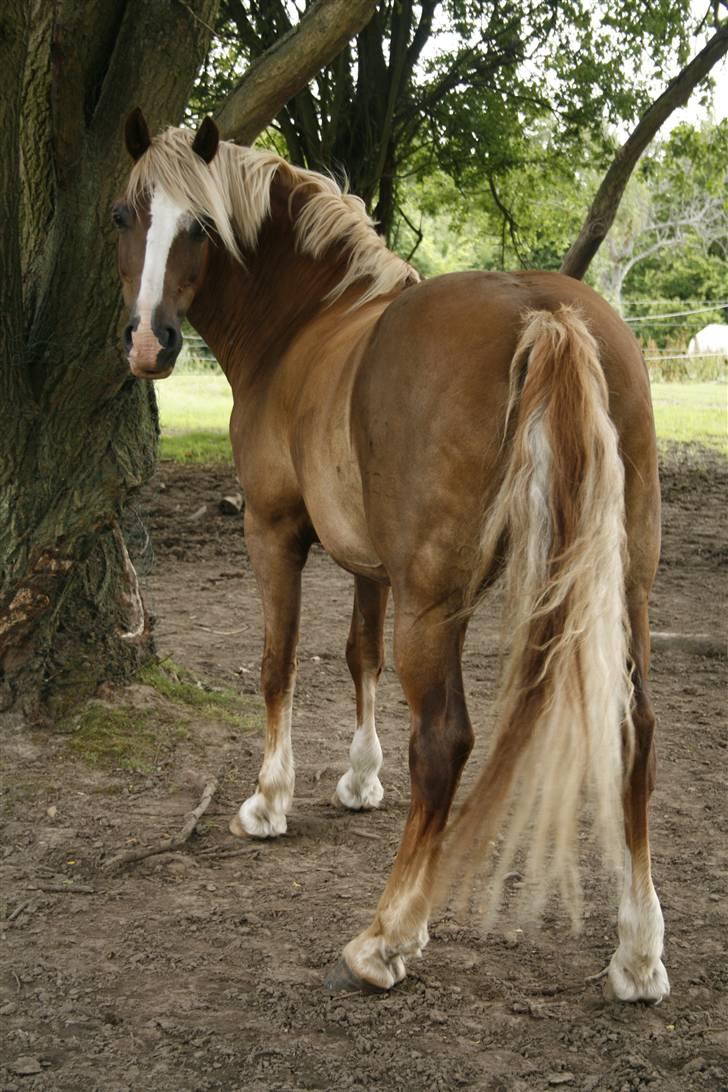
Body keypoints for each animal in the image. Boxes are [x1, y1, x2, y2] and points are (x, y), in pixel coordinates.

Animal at [114, 108, 669, 1003]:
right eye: (126, 217)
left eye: (198, 225)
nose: (147, 344)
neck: (307, 325)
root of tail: (545, 312)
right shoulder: (369, 563)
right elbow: (358, 656)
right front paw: (359, 779)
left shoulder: (274, 531)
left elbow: (278, 663)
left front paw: (270, 801)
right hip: (626, 592)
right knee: (636, 731)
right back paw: (639, 952)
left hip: (435, 604)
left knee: (444, 742)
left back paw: (388, 935)